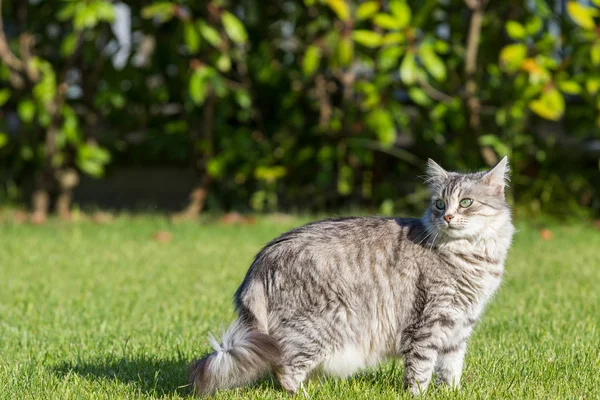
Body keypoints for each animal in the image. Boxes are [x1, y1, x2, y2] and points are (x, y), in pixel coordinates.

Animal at [190, 156, 512, 394]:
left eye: (466, 202)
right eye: (440, 204)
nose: (446, 217)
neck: (474, 257)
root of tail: (261, 261)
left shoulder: (459, 326)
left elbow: (451, 369)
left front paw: (451, 391)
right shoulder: (429, 322)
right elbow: (421, 370)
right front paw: (419, 393)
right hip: (319, 326)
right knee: (285, 370)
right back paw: (303, 394)